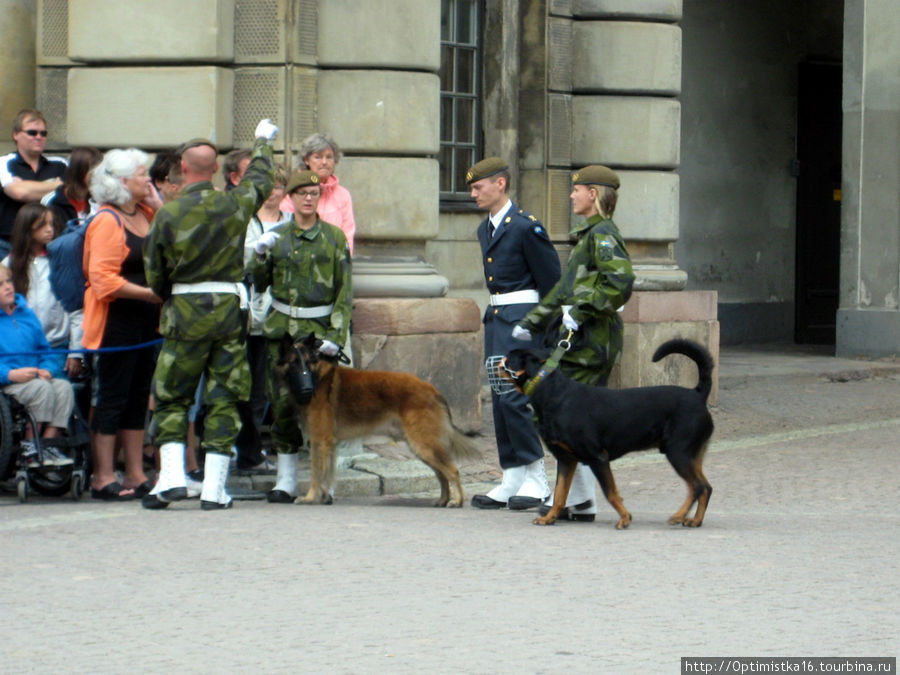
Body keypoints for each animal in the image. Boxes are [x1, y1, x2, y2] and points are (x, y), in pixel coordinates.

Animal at [276, 334, 482, 508]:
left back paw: (457, 501)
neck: (318, 377)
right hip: (421, 448)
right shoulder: (329, 445)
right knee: (441, 474)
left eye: (309, 362)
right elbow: (327, 474)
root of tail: (433, 390)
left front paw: (310, 498)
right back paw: (442, 499)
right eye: (294, 363)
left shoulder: (319, 441)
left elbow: (317, 474)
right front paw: (324, 497)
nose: (307, 389)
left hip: (424, 445)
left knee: (452, 471)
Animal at [502, 340, 712, 532]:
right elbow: (560, 495)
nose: (499, 359)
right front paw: (550, 518)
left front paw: (625, 518)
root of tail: (697, 394)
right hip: (692, 456)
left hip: (678, 453)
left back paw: (679, 516)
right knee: (706, 488)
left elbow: (610, 492)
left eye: (510, 357)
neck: (551, 393)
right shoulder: (566, 460)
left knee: (697, 487)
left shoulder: (598, 458)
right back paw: (695, 520)